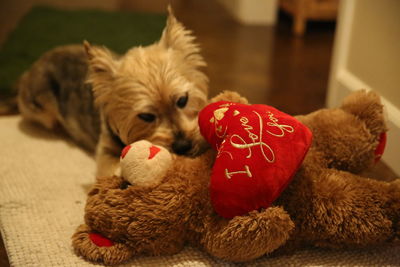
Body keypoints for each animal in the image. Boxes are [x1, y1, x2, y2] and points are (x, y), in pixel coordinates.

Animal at [12, 8, 209, 177]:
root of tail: (29, 70)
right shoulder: (105, 152)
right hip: (40, 103)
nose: (183, 146)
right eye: (146, 116)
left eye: (183, 100)